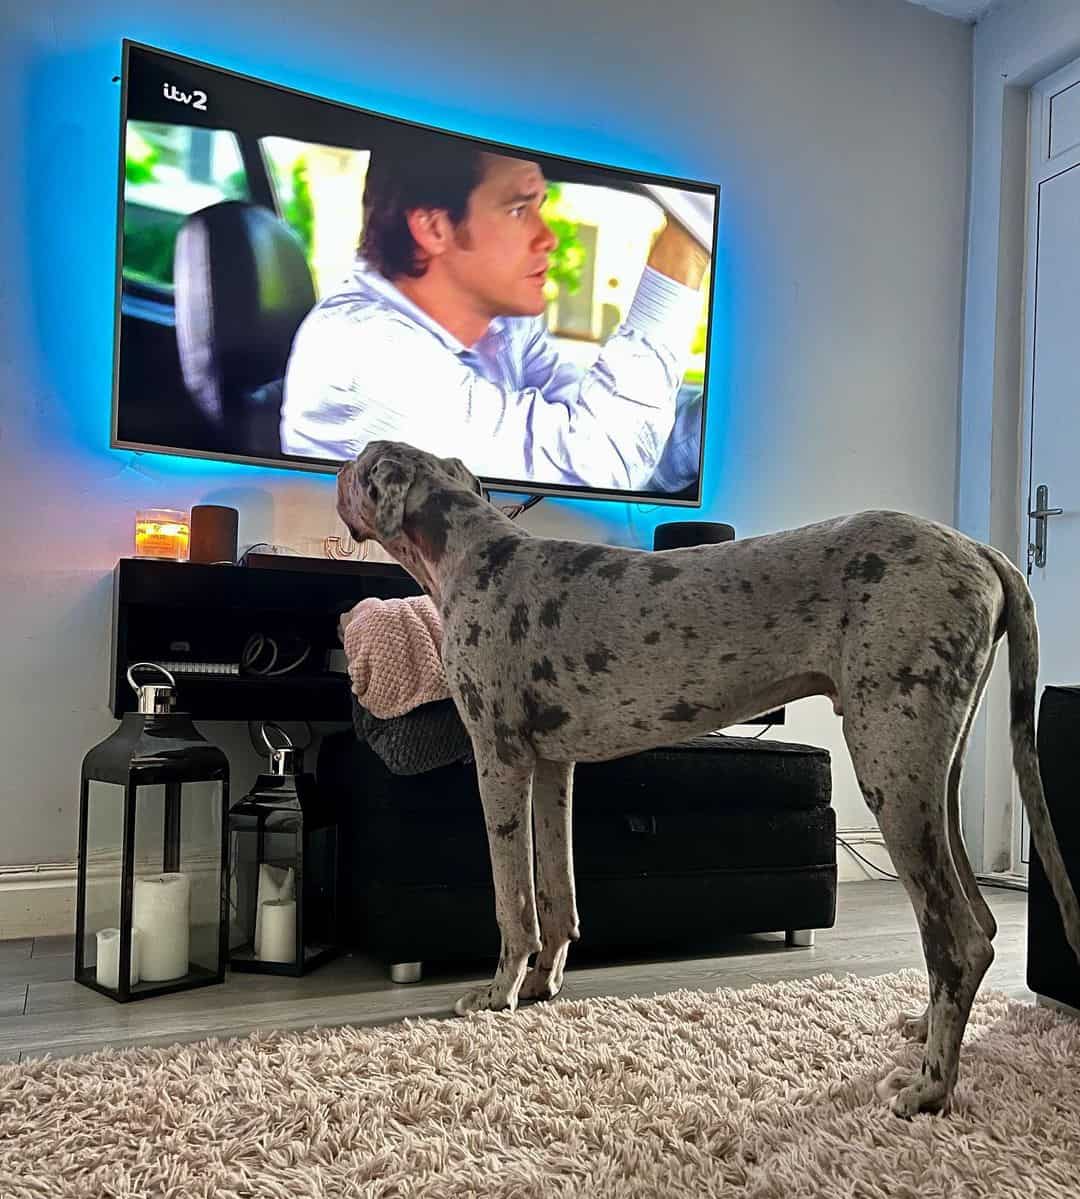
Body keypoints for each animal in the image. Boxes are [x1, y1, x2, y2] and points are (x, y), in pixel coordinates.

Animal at [338, 441, 1078, 1112]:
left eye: (357, 463)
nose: (339, 474)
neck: (472, 551)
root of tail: (982, 551)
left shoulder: (499, 758)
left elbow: (512, 902)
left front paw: (499, 994)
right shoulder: (553, 765)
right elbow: (557, 895)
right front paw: (546, 984)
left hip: (891, 769)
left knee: (957, 939)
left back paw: (929, 1087)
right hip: (931, 775)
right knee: (980, 924)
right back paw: (924, 1031)